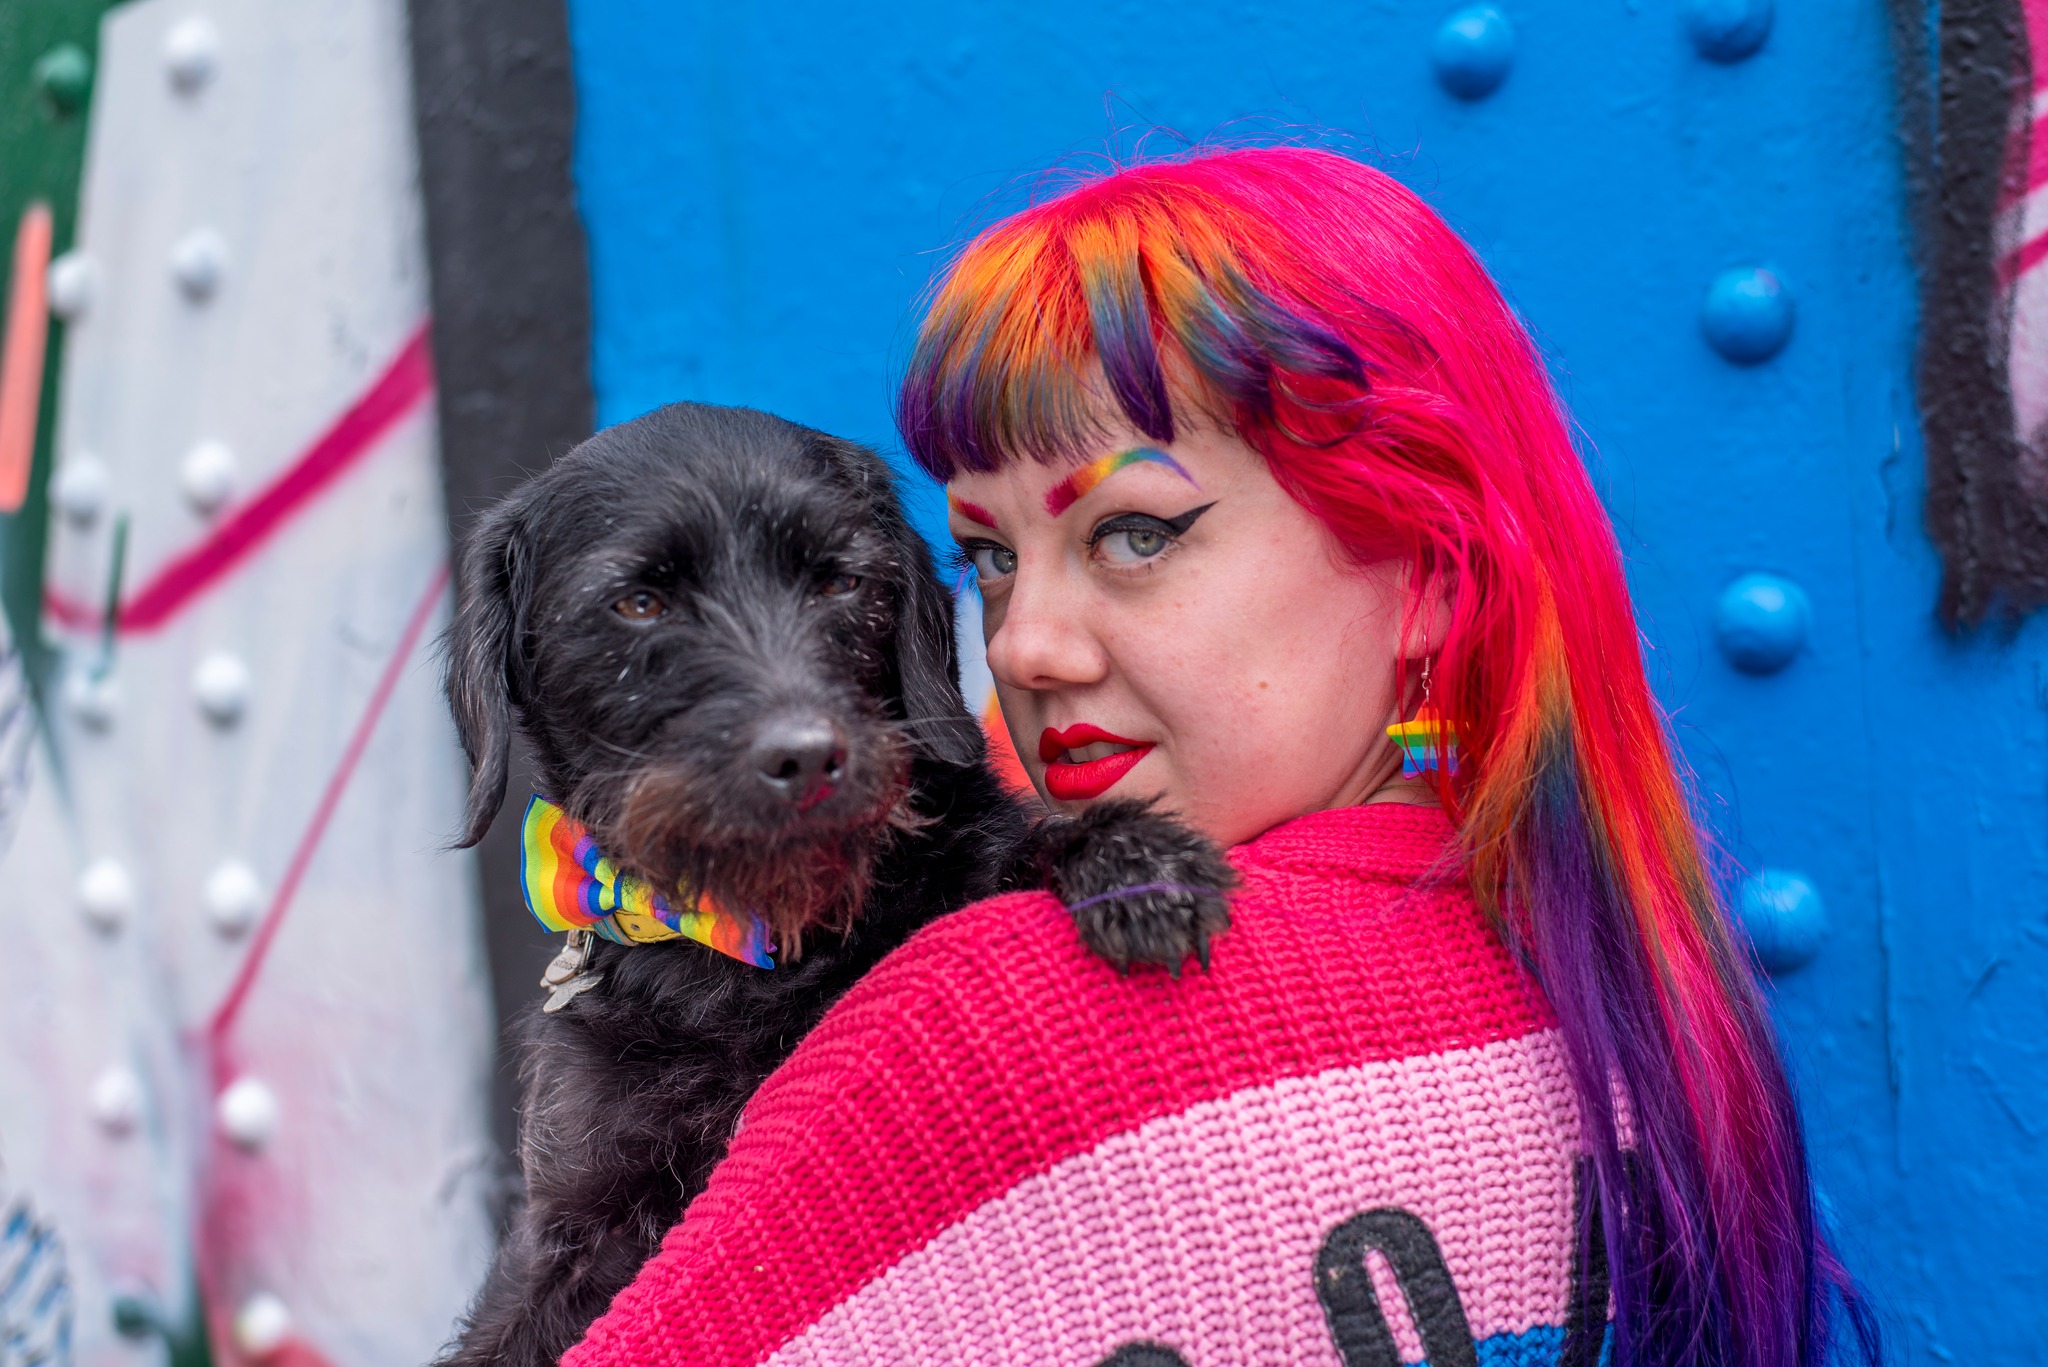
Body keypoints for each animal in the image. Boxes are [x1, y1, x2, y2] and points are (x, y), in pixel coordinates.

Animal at [438, 401, 1220, 1360]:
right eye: (637, 602)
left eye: (842, 582)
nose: (807, 755)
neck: (754, 951)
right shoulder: (577, 1216)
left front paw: (1128, 861)